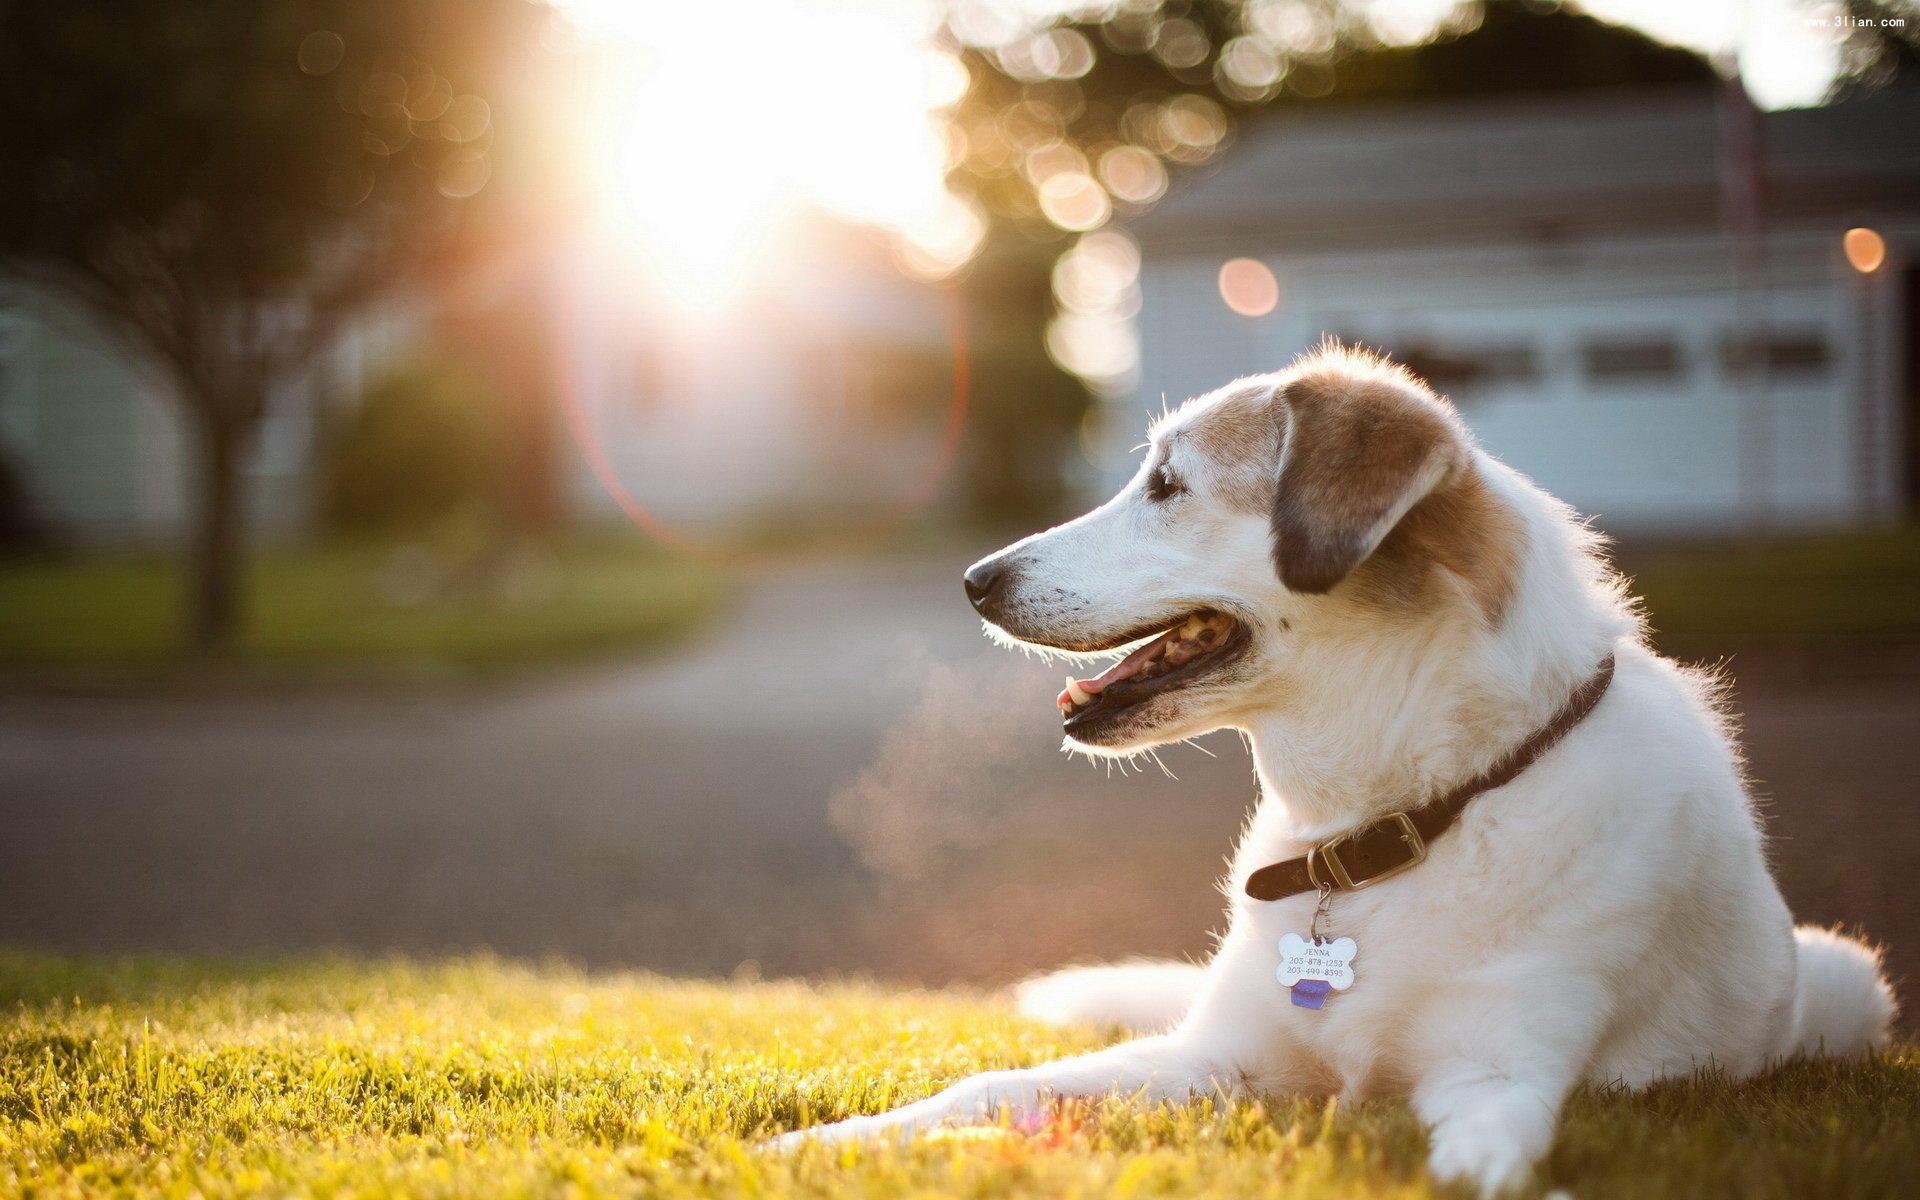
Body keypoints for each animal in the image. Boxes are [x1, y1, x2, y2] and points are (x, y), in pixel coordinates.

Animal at [775, 343, 1889, 1190]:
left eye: (1168, 486)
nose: (974, 580)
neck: (1388, 830)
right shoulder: (1217, 1057)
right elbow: (995, 1088)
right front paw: (827, 1141)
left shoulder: (1496, 1072)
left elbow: (1481, 1158)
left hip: (1849, 981)